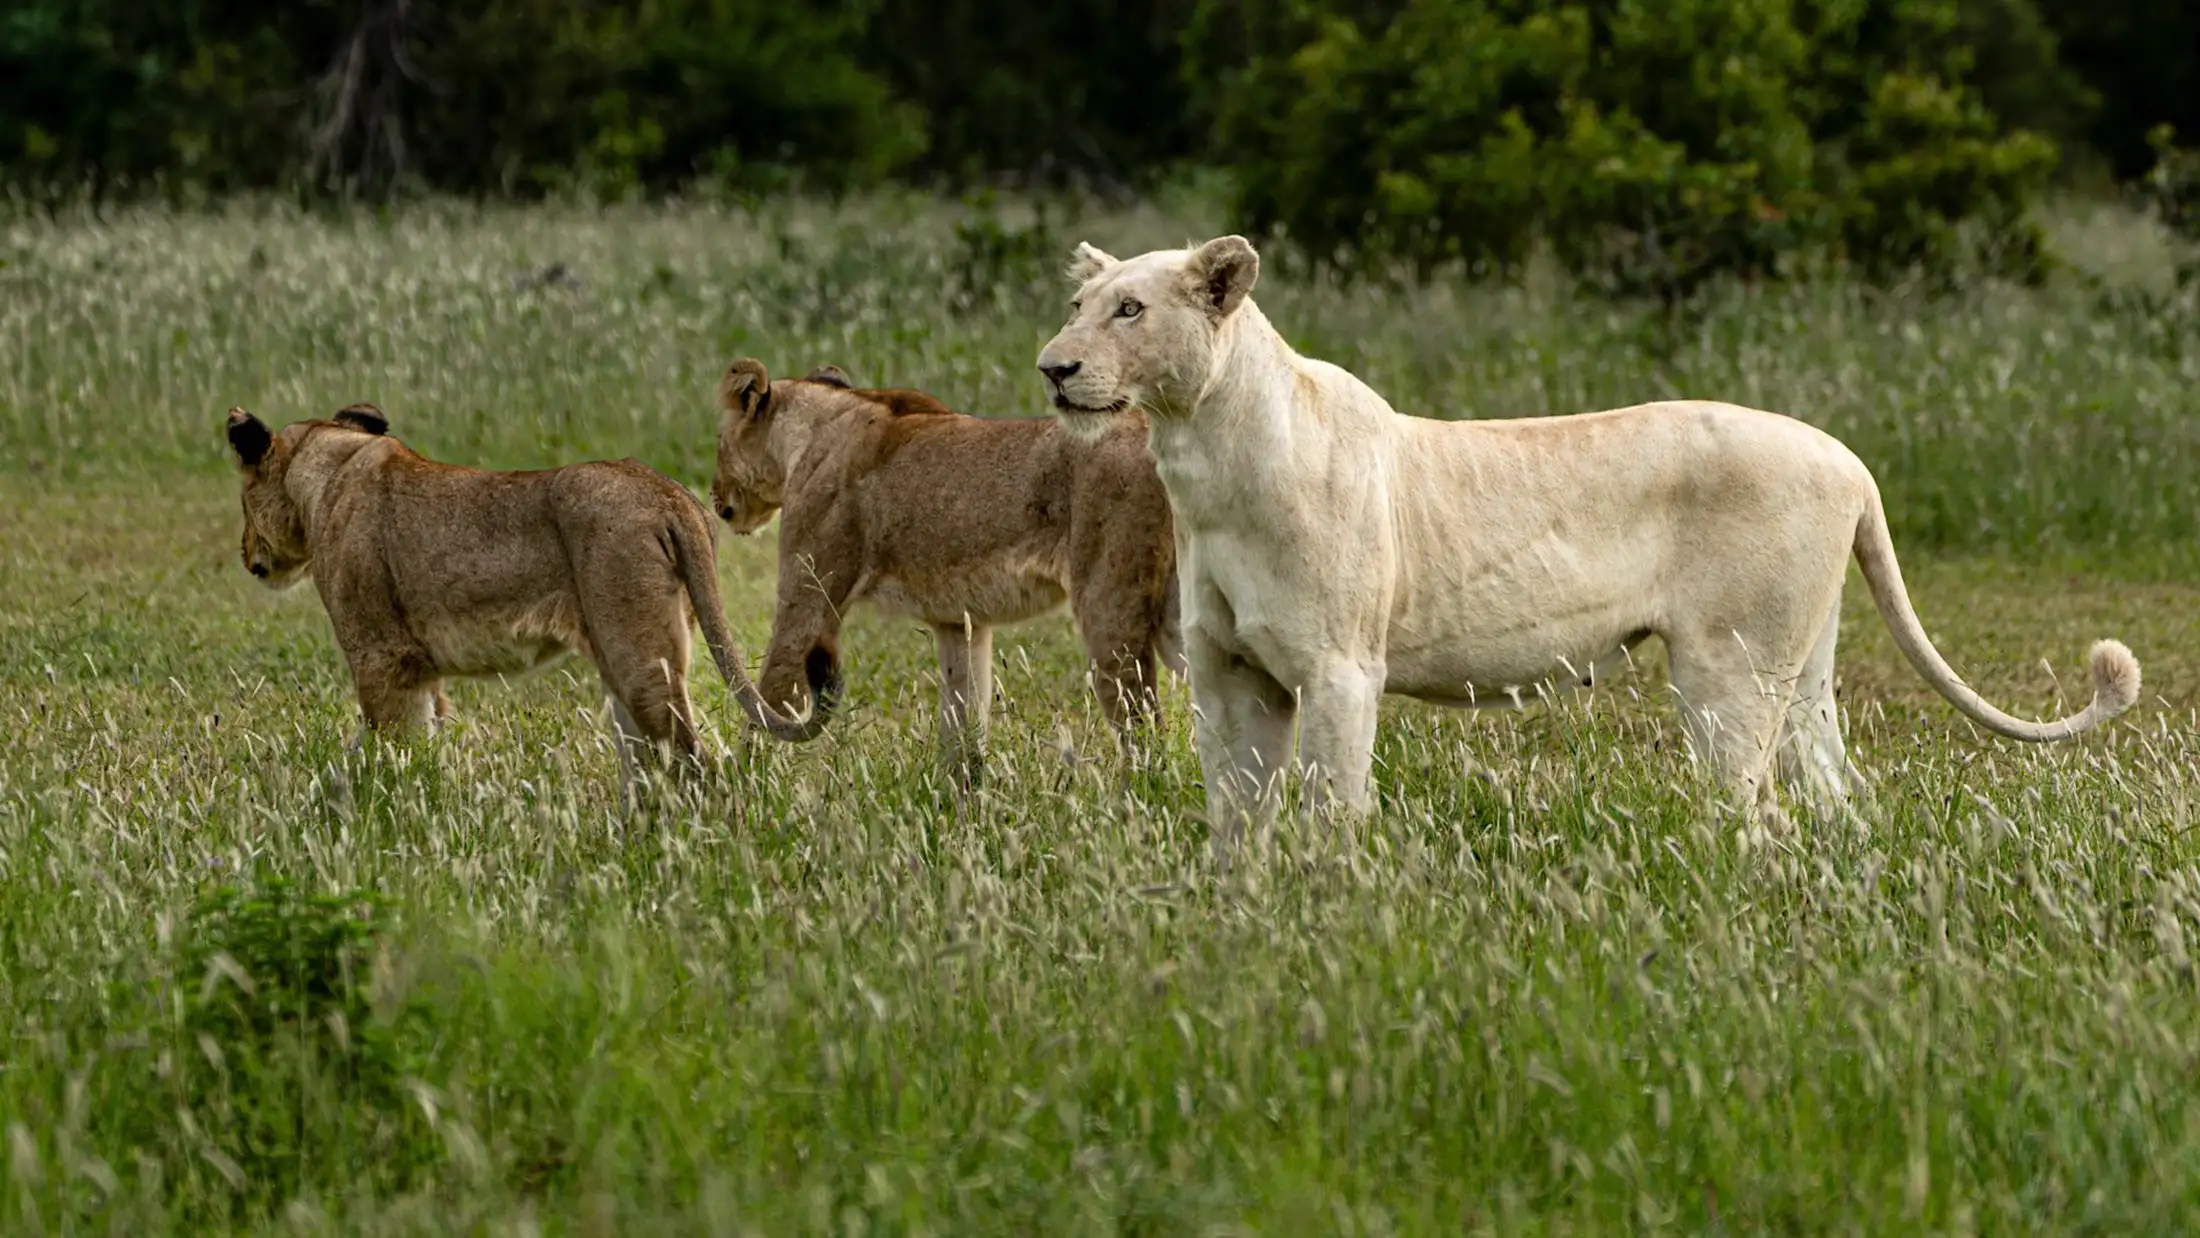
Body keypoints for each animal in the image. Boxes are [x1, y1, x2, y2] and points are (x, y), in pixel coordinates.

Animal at [224, 403, 831, 796]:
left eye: (243, 497)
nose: (244, 550)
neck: (325, 472)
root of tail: (668, 493)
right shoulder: (417, 668)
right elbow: (415, 742)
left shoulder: (380, 657)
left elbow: (385, 749)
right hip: (630, 663)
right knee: (649, 762)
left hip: (639, 662)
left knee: (700, 763)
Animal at [710, 359, 1182, 782]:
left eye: (718, 441)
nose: (714, 496)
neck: (815, 428)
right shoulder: (962, 620)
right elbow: (964, 725)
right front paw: (962, 802)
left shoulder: (807, 599)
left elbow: (771, 698)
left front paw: (743, 792)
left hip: (1109, 604)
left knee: (1144, 731)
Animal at [1034, 236, 2142, 838]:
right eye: (1077, 304)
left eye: (1129, 309)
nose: (1052, 367)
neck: (1204, 458)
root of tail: (1852, 461)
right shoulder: (1231, 673)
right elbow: (1235, 815)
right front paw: (1241, 920)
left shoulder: (1340, 667)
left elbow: (1331, 809)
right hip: (1802, 663)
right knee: (1832, 797)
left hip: (1727, 669)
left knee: (1757, 815)